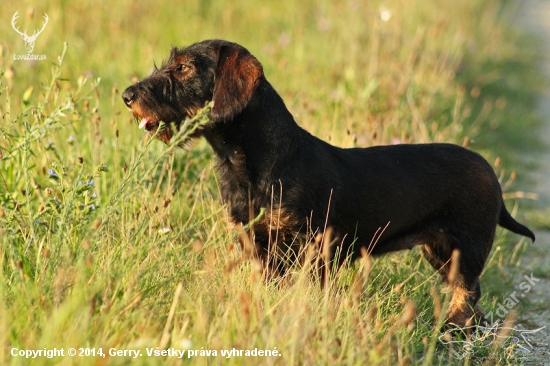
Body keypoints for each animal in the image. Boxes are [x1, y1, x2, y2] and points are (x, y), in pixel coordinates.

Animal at [123, 39, 536, 326]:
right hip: (439, 252)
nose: (127, 95)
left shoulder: (314, 248)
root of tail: (490, 173)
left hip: (465, 250)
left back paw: (452, 329)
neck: (249, 166)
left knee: (467, 292)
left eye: (183, 67)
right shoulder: (259, 246)